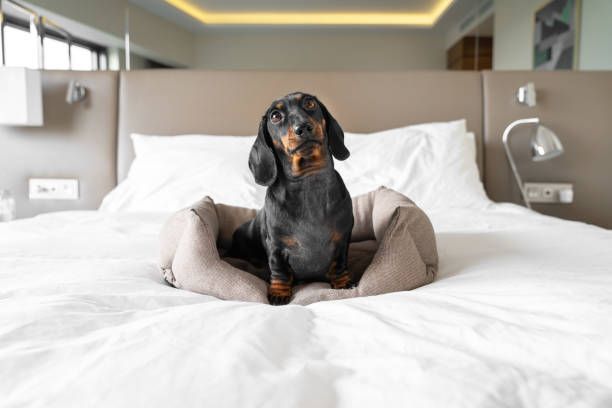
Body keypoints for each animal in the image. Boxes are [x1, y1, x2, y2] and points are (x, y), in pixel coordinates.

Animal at [230, 91, 354, 302]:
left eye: (310, 103)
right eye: (275, 116)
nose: (303, 127)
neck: (308, 182)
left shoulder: (342, 239)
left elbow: (339, 263)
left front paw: (343, 283)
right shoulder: (276, 248)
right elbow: (280, 271)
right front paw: (279, 293)